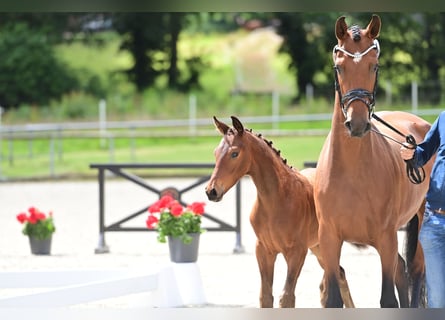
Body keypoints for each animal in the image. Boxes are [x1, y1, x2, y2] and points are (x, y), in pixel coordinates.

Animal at [205, 115, 354, 308]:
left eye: (234, 153)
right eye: (215, 152)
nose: (211, 191)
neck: (277, 200)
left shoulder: (297, 252)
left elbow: (287, 297)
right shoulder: (264, 250)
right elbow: (266, 296)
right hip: (317, 246)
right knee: (338, 276)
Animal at [314, 14, 432, 308]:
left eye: (374, 66)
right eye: (339, 67)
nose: (356, 124)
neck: (352, 172)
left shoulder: (386, 239)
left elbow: (388, 299)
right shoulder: (329, 240)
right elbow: (333, 299)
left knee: (415, 270)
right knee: (403, 271)